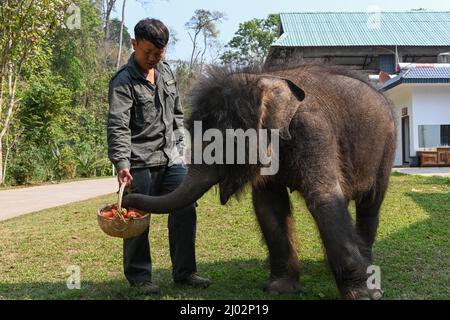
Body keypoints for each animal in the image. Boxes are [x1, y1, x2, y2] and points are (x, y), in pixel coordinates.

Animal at [121, 64, 396, 300]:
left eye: (222, 142)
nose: (125, 196)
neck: (263, 80)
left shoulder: (314, 130)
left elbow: (324, 196)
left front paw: (365, 295)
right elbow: (269, 203)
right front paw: (280, 289)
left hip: (387, 145)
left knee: (370, 204)